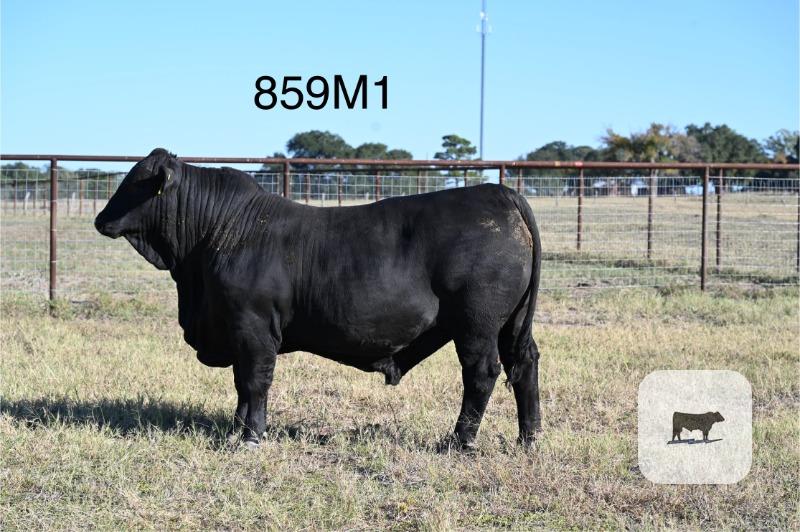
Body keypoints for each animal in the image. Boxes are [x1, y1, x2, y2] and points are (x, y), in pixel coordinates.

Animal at [94, 149, 542, 450]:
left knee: (482, 373)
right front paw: (237, 427)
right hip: (512, 322)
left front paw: (251, 436)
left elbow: (254, 380)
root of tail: (500, 193)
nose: (100, 219)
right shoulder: (238, 331)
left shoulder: (253, 327)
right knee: (524, 364)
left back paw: (459, 441)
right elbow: (240, 383)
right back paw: (529, 437)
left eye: (135, 181)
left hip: (477, 323)